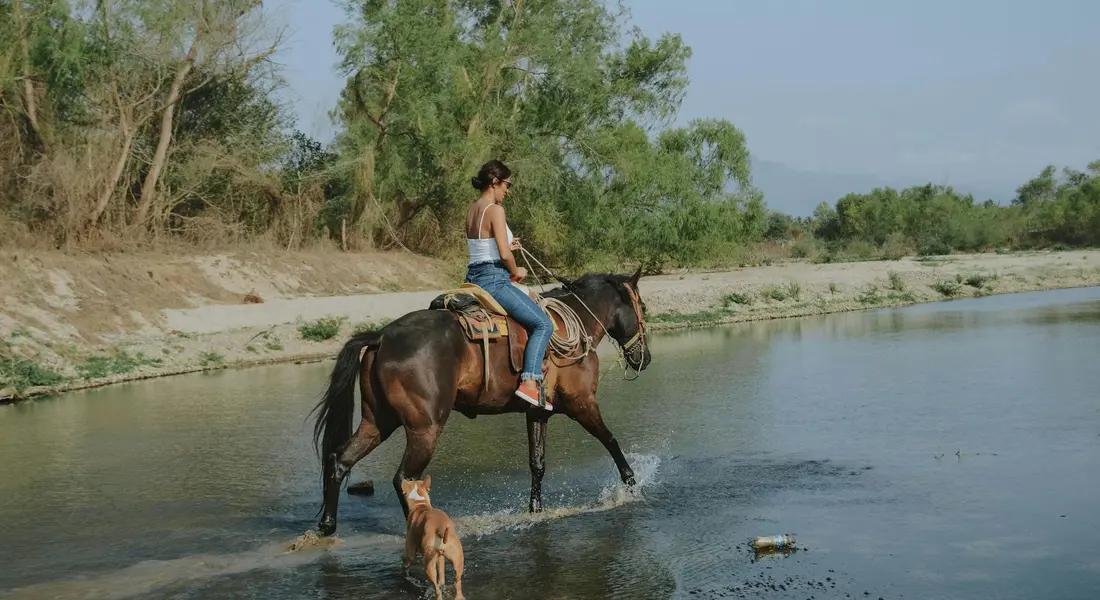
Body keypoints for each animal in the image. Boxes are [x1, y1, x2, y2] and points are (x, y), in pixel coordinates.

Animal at [309, 266, 652, 536]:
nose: (644, 358)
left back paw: (328, 524)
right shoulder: (582, 404)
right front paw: (631, 483)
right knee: (404, 478)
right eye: (644, 308)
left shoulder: (538, 412)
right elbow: (610, 440)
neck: (576, 324)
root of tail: (381, 336)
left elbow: (537, 464)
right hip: (425, 429)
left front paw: (536, 509)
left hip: (377, 422)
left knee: (340, 461)